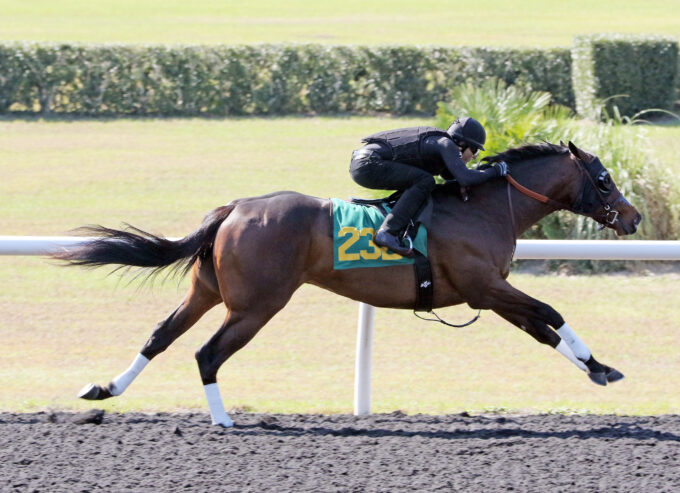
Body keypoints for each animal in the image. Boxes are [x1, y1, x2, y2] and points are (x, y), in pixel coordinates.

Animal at [54, 140, 644, 424]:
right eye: (604, 179)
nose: (634, 218)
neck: (482, 205)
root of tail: (233, 209)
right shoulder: (484, 288)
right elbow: (552, 314)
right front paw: (601, 365)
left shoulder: (489, 294)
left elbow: (543, 331)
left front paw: (599, 369)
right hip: (254, 306)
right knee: (206, 354)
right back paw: (223, 422)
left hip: (206, 292)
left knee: (159, 336)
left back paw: (105, 388)